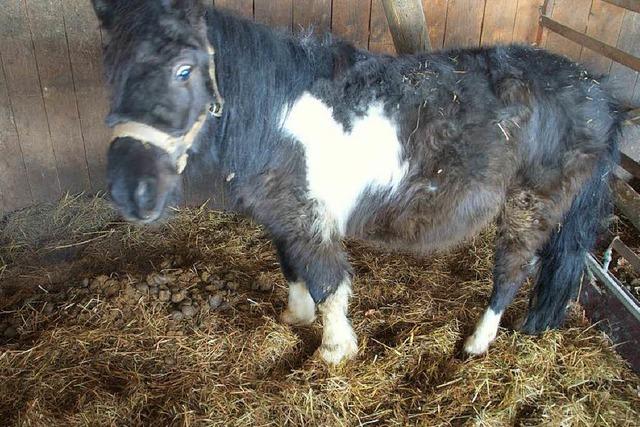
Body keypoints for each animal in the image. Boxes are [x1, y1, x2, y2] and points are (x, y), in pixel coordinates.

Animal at [92, 0, 624, 366]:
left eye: (184, 69)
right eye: (110, 70)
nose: (130, 191)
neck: (276, 114)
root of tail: (600, 94)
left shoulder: (310, 216)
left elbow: (327, 280)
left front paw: (333, 351)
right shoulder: (284, 212)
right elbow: (292, 267)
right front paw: (295, 317)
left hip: (530, 202)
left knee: (514, 269)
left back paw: (476, 343)